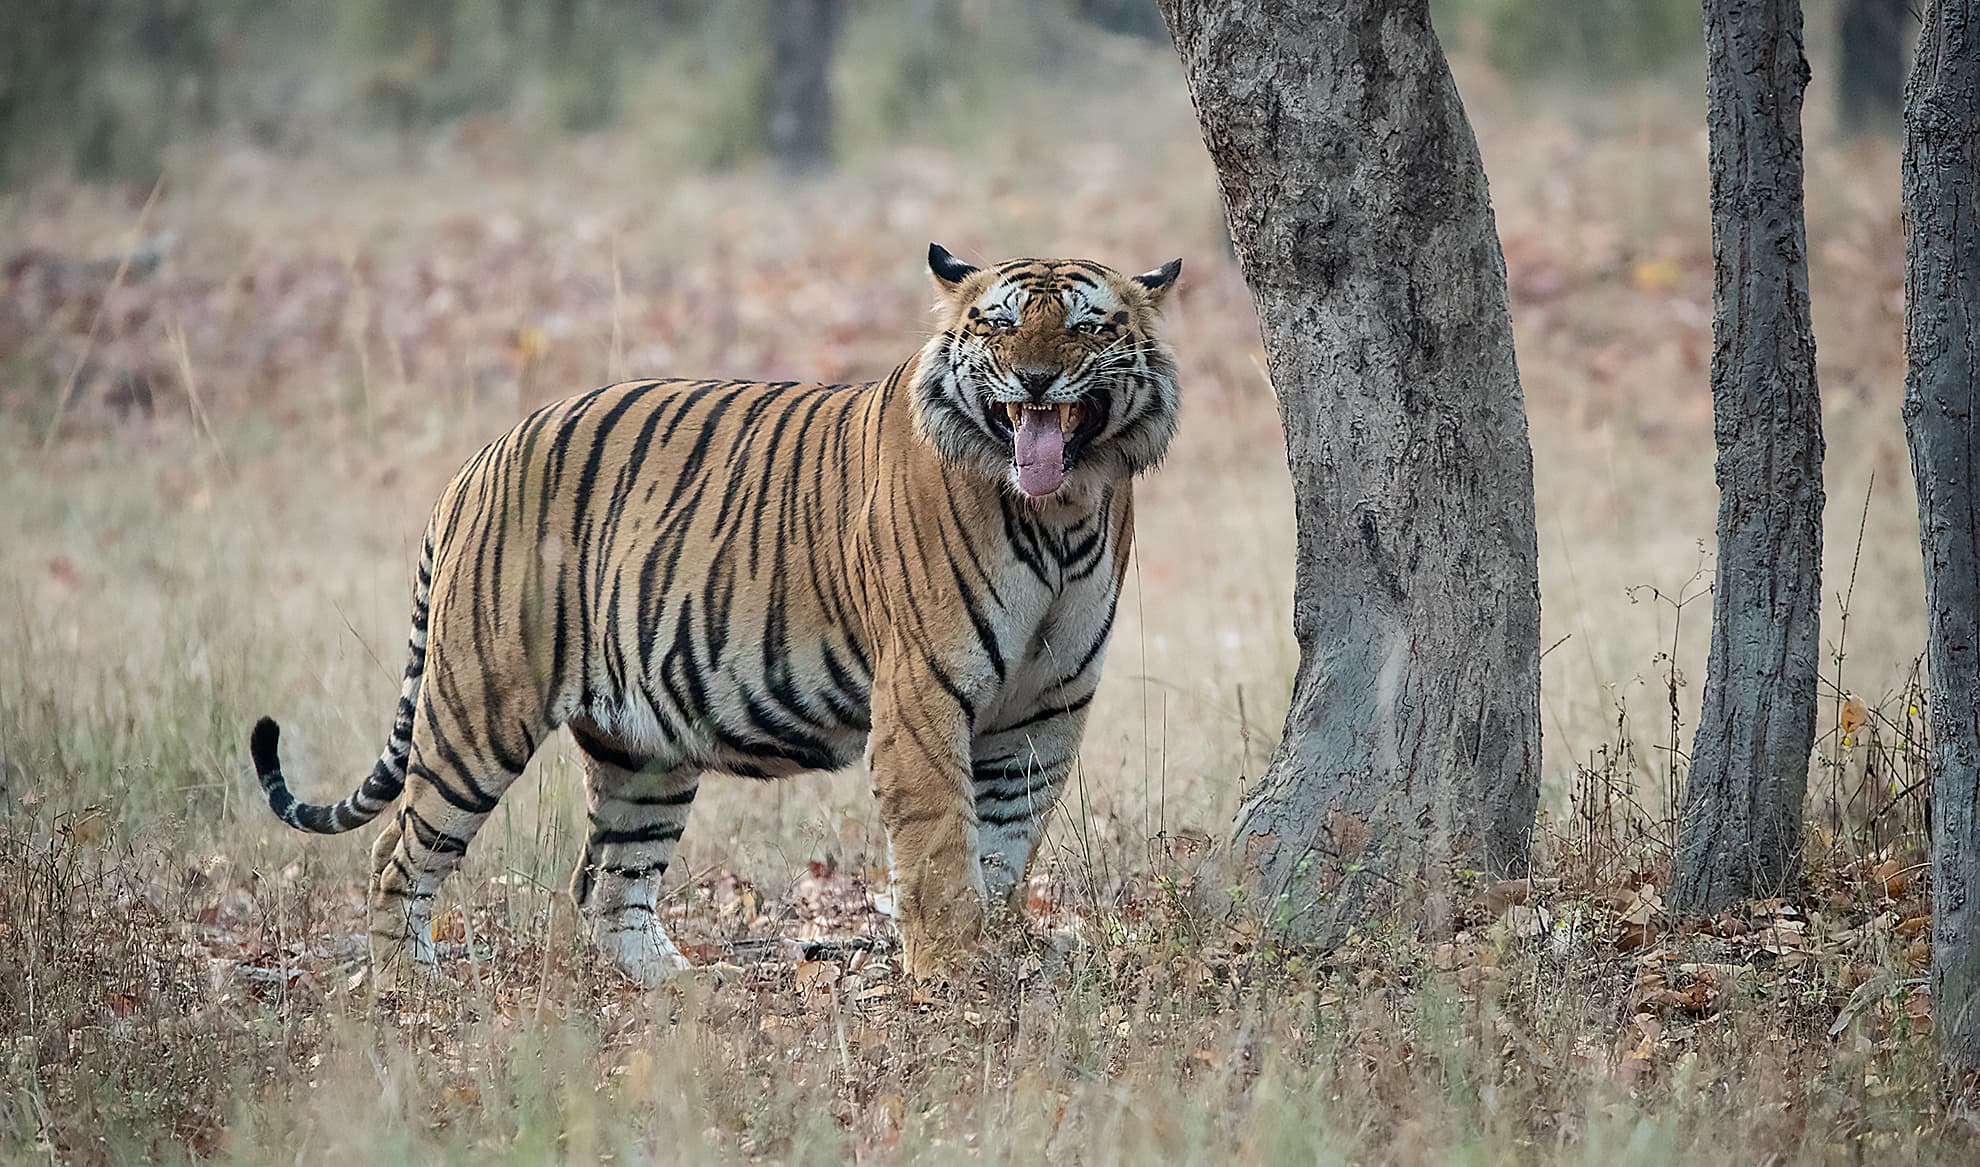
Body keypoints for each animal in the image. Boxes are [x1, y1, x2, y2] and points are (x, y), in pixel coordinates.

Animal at [247, 243, 1172, 982]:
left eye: (1088, 327)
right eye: (999, 326)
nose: (1037, 380)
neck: (1059, 517)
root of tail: (479, 460)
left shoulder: (1046, 707)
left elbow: (1006, 841)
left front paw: (1001, 951)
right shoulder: (923, 691)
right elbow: (943, 838)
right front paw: (953, 973)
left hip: (643, 747)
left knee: (609, 879)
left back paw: (676, 984)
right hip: (479, 710)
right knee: (396, 851)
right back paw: (408, 983)